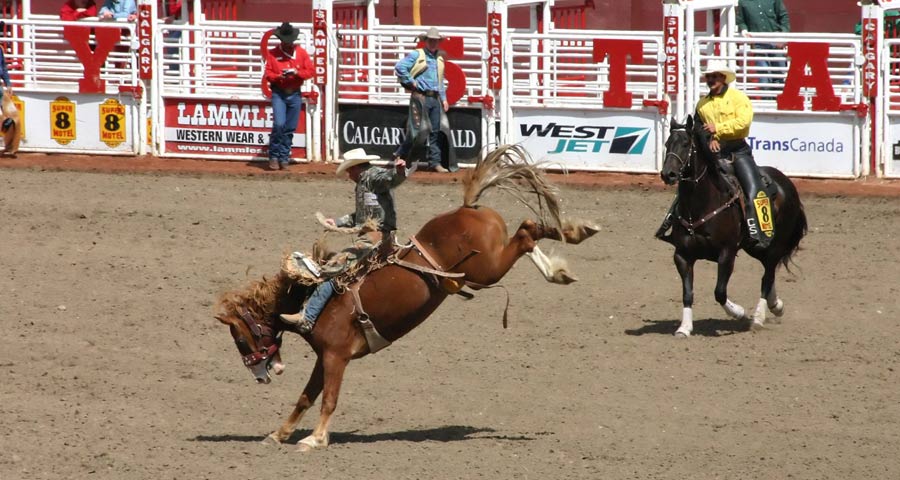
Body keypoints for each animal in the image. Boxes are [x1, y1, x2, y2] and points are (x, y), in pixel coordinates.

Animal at [214, 144, 600, 452]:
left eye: (240, 339)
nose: (262, 376)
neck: (310, 295)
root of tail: (469, 208)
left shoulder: (336, 356)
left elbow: (328, 399)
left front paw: (315, 439)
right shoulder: (324, 357)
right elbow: (306, 397)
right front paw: (279, 434)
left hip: (487, 269)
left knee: (526, 234)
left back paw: (564, 255)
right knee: (532, 229)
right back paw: (575, 238)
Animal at [660, 114, 808, 336]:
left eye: (686, 143)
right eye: (667, 143)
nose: (667, 174)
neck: (702, 204)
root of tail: (787, 184)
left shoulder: (727, 253)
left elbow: (719, 292)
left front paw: (738, 312)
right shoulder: (682, 255)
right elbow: (688, 294)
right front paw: (684, 328)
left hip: (775, 244)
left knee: (767, 276)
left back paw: (758, 317)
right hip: (755, 246)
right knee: (769, 273)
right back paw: (776, 305)